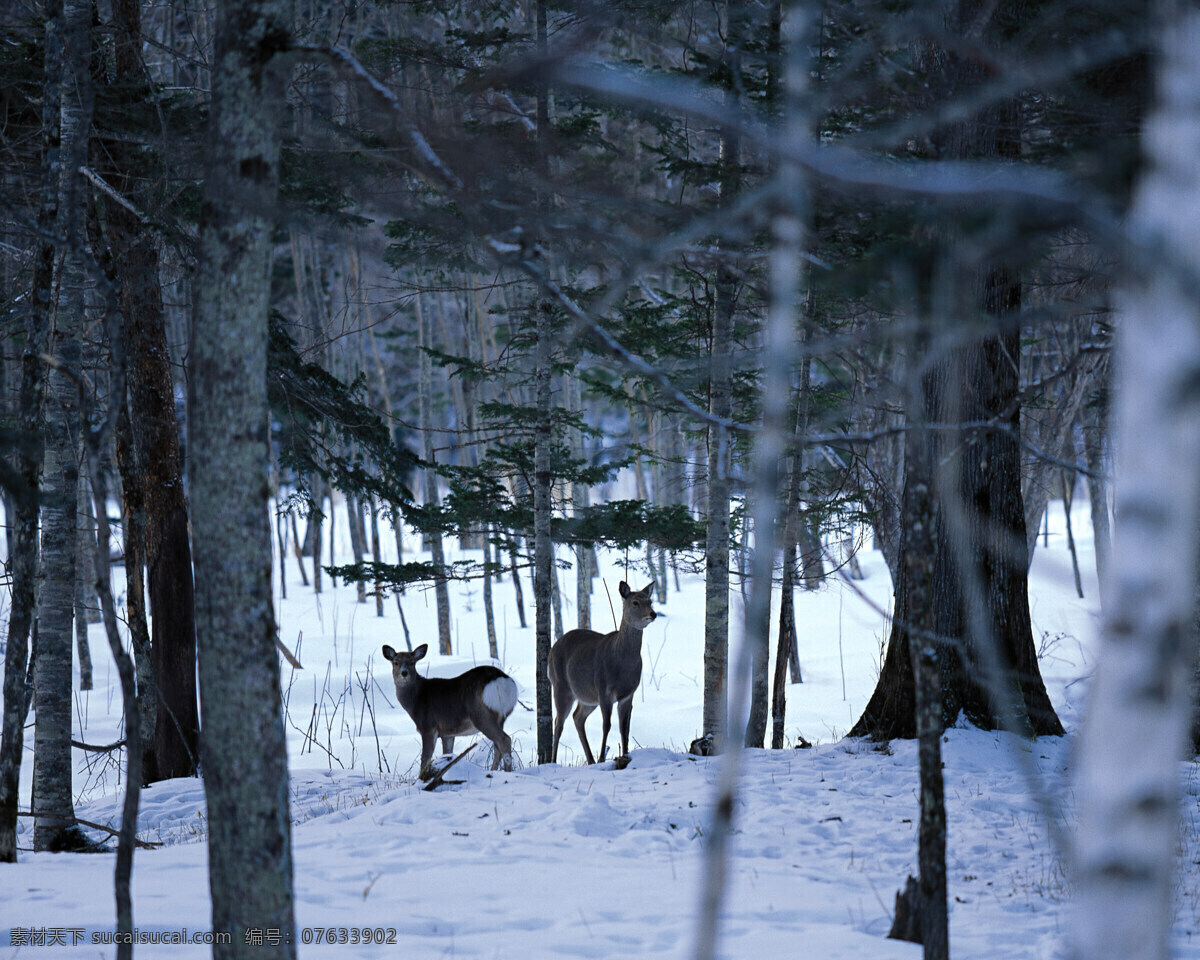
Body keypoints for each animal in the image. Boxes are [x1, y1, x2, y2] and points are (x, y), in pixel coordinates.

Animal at [382, 643, 518, 779]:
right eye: (395, 662)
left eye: (412, 662)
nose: (404, 673)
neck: (416, 699)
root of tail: (501, 681)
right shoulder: (448, 732)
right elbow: (447, 755)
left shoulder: (428, 727)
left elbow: (425, 758)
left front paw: (421, 778)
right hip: (501, 717)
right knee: (497, 745)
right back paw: (493, 772)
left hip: (481, 715)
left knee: (504, 739)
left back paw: (508, 773)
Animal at [550, 580, 657, 764]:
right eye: (635, 602)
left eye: (650, 601)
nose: (653, 613)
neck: (623, 665)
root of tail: (552, 648)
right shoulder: (603, 689)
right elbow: (606, 725)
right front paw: (601, 758)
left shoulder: (628, 694)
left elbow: (624, 727)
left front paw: (625, 755)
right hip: (560, 686)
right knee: (558, 722)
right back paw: (552, 760)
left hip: (587, 697)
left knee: (577, 717)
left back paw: (590, 760)